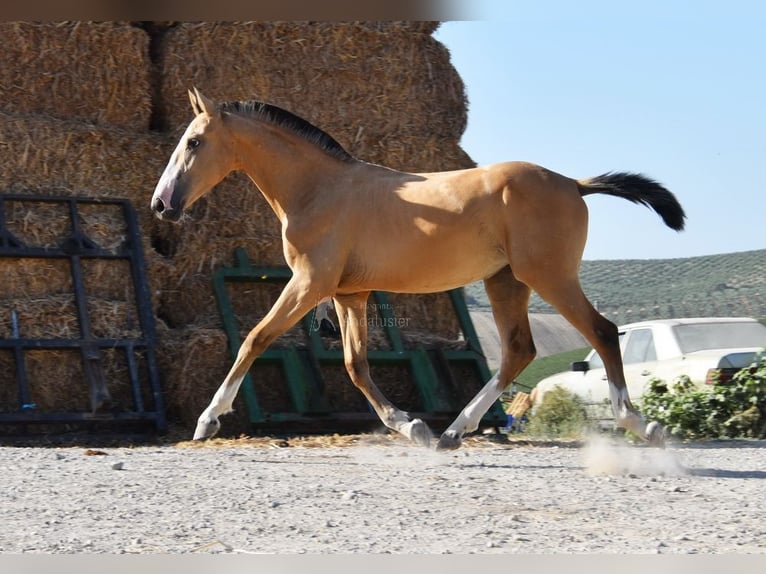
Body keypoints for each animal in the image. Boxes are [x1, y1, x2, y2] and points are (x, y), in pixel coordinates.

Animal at [150, 89, 684, 450]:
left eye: (194, 142)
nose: (161, 205)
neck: (319, 190)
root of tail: (573, 183)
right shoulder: (348, 295)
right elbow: (356, 365)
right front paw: (414, 426)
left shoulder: (310, 283)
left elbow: (255, 339)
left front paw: (207, 420)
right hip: (506, 281)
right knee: (518, 351)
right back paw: (453, 432)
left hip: (549, 276)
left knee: (603, 331)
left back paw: (641, 424)